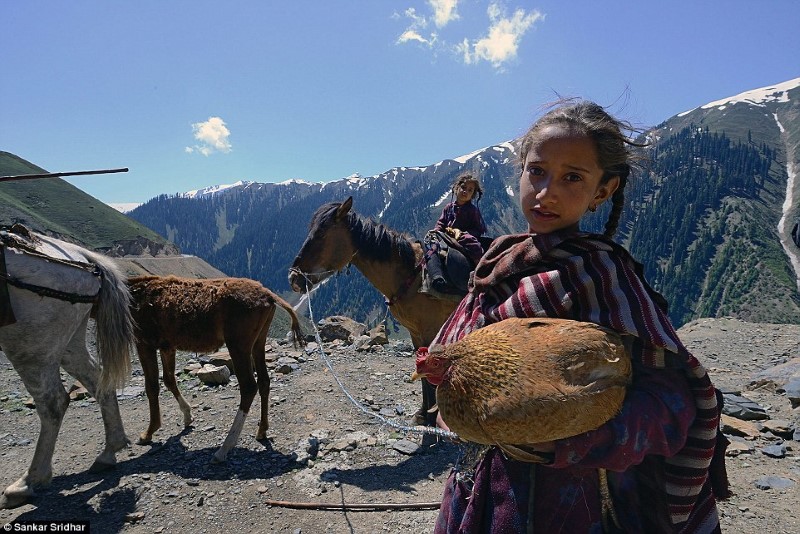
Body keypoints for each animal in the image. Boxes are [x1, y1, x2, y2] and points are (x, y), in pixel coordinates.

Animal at [0, 226, 133, 510]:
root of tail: (81, 256)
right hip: (69, 342)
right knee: (98, 380)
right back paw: (109, 451)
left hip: (30, 346)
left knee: (54, 403)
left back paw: (27, 482)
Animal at [130, 276, 304, 464]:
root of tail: (269, 295)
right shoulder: (167, 346)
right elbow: (169, 380)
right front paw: (187, 416)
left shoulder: (145, 342)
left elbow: (152, 386)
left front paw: (148, 432)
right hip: (259, 340)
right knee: (264, 381)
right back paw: (262, 430)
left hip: (238, 342)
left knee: (249, 387)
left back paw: (224, 449)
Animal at [290, 197, 460, 428]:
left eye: (322, 234)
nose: (293, 278)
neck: (413, 275)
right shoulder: (416, 333)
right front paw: (423, 414)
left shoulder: (431, 330)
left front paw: (432, 416)